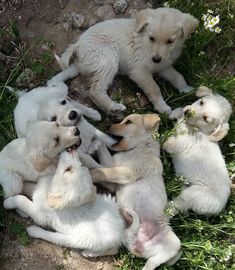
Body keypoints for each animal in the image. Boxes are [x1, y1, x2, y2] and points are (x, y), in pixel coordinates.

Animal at [56, 7, 197, 115]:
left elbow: (178, 76)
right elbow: (154, 88)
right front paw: (162, 107)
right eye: (151, 38)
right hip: (108, 59)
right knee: (95, 90)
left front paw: (186, 89)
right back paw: (114, 106)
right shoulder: (139, 71)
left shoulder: (163, 66)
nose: (156, 59)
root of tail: (77, 45)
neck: (145, 41)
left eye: (170, 41)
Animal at [91, 114, 181, 270]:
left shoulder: (126, 172)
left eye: (128, 122)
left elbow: (102, 172)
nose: (108, 126)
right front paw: (98, 140)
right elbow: (104, 166)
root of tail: (137, 245)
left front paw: (88, 173)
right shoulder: (114, 177)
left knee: (152, 262)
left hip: (173, 245)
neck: (140, 148)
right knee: (115, 248)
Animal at [162, 86, 232, 215]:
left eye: (205, 118)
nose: (188, 112)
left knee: (176, 207)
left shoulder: (181, 143)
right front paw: (173, 114)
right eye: (201, 102)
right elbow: (179, 109)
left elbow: (167, 142)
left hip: (192, 195)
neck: (199, 129)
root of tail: (219, 209)